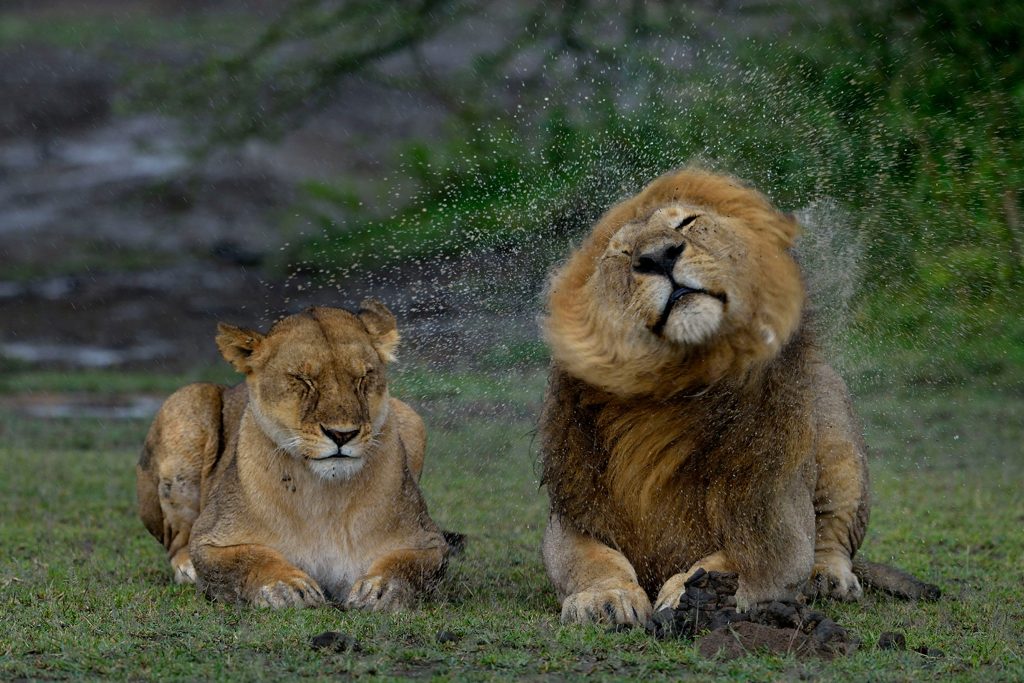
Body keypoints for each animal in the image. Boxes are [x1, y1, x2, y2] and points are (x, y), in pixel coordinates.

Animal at [135, 301, 448, 610]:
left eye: (363, 378)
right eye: (303, 379)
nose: (342, 434)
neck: (326, 498)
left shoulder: (429, 541)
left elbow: (408, 564)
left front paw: (379, 589)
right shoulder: (211, 538)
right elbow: (249, 558)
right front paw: (286, 586)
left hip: (410, 415)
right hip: (186, 403)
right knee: (176, 541)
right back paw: (186, 568)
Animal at [544, 166, 937, 626]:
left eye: (686, 223)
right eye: (622, 254)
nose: (658, 257)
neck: (675, 397)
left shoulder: (778, 522)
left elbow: (735, 562)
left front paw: (690, 597)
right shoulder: (574, 512)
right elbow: (592, 560)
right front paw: (605, 598)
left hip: (841, 454)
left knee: (832, 535)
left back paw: (828, 578)